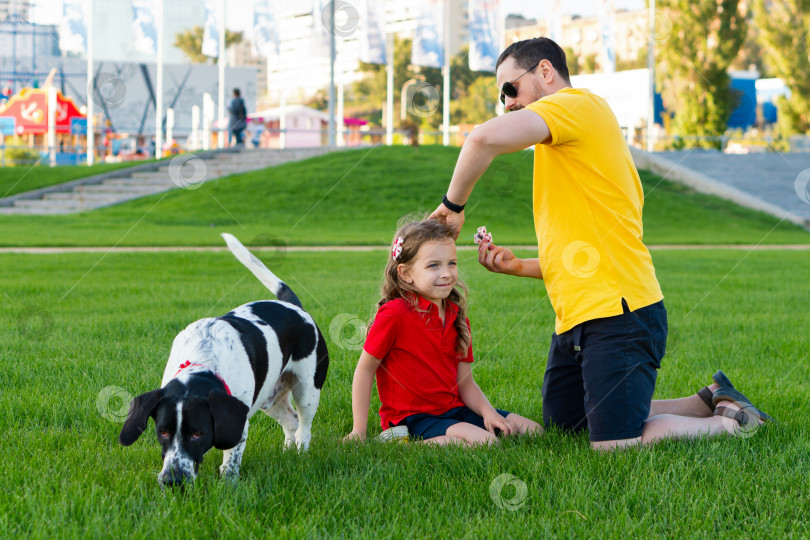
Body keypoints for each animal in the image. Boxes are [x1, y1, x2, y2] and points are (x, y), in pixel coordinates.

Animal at [116, 234, 328, 488]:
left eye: (198, 433)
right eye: (162, 431)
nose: (173, 480)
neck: (203, 361)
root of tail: (294, 306)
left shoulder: (238, 422)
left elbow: (230, 461)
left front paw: (228, 484)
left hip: (307, 390)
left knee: (303, 428)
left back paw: (299, 454)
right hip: (270, 397)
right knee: (291, 422)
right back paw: (288, 453)